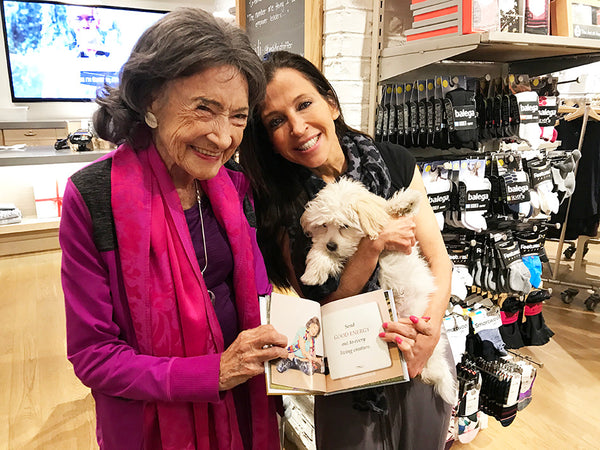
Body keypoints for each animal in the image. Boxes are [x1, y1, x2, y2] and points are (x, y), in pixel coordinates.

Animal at [302, 178, 458, 406]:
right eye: (323, 225)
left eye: (344, 226)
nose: (331, 245)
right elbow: (320, 253)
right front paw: (312, 273)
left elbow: (388, 210)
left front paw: (406, 201)